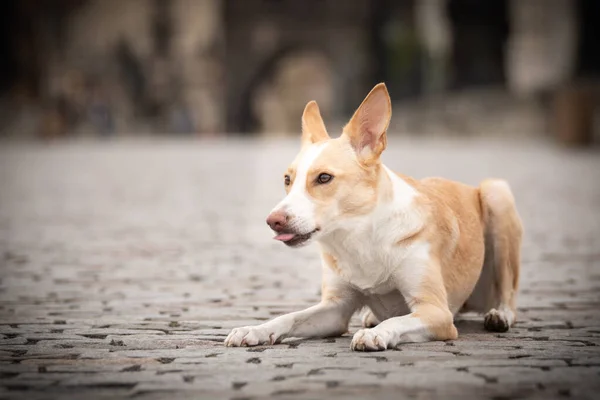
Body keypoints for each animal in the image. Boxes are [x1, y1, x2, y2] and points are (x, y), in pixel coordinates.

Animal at [224, 83, 520, 350]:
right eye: (287, 179)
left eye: (324, 178)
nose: (273, 221)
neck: (359, 237)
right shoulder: (335, 309)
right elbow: (290, 317)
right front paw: (255, 329)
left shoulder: (436, 311)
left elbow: (397, 321)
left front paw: (376, 334)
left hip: (497, 194)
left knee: (508, 291)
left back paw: (500, 315)